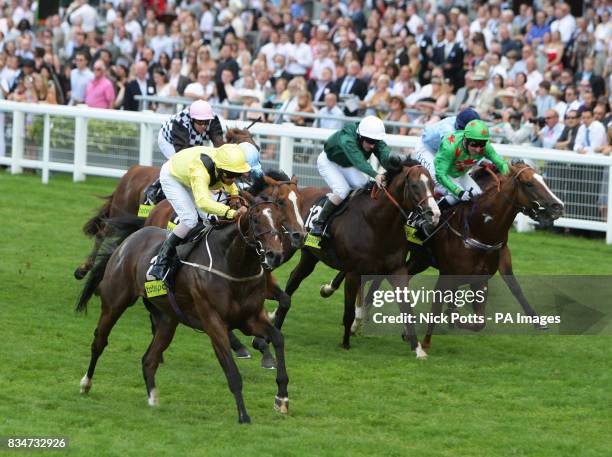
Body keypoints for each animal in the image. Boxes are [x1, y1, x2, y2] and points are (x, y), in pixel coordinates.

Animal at [74, 193, 290, 424]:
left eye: (281, 220)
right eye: (256, 220)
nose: (275, 255)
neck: (233, 265)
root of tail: (129, 240)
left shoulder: (250, 319)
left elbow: (278, 338)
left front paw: (282, 398)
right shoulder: (214, 324)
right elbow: (232, 372)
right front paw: (243, 415)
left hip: (167, 319)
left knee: (149, 359)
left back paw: (153, 398)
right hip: (114, 303)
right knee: (99, 342)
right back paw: (86, 383)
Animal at [276, 159, 440, 354]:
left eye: (432, 184)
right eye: (415, 185)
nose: (435, 214)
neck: (376, 224)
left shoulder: (397, 270)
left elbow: (407, 307)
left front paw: (418, 349)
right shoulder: (354, 272)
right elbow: (349, 311)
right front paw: (345, 342)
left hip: (310, 256)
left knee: (293, 279)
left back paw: (276, 320)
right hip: (284, 249)